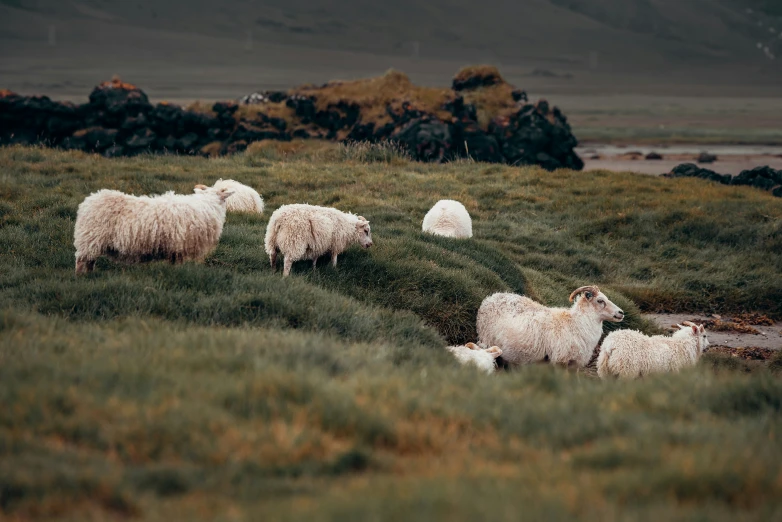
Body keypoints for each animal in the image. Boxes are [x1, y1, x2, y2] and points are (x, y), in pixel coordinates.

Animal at [72, 185, 233, 272]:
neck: (207, 204)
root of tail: (89, 201)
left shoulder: (174, 248)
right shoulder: (179, 245)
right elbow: (178, 265)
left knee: (90, 261)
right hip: (90, 238)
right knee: (81, 261)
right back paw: (81, 277)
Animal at [474, 284, 628, 366]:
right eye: (600, 300)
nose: (621, 312)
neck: (576, 324)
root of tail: (491, 297)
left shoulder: (575, 363)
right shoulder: (561, 360)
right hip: (487, 340)